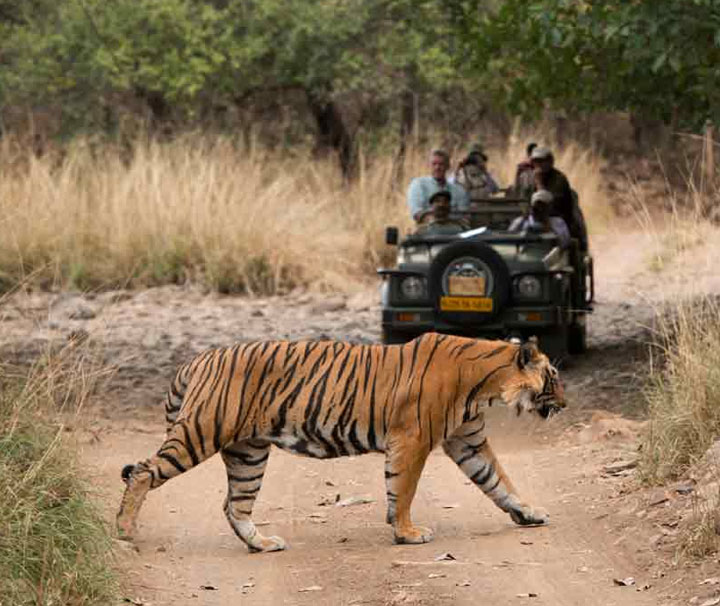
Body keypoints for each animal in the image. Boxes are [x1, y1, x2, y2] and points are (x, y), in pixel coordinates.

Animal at [118, 334, 564, 552]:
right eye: (554, 376)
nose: (564, 403)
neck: (485, 384)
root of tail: (196, 360)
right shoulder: (413, 439)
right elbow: (403, 490)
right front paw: (407, 533)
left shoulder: (466, 441)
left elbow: (499, 481)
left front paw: (529, 513)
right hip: (201, 431)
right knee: (142, 471)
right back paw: (124, 530)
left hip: (248, 453)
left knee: (234, 506)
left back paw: (263, 544)